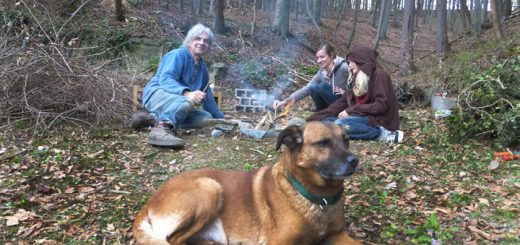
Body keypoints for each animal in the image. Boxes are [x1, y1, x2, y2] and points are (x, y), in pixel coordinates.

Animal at [134, 121, 360, 244]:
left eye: (347, 140)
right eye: (323, 143)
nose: (355, 160)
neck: (319, 198)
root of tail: (148, 204)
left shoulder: (336, 235)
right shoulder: (280, 242)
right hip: (210, 188)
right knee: (173, 239)